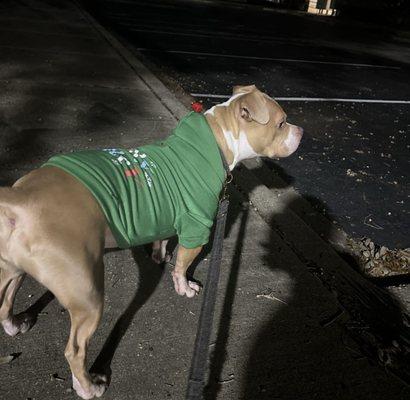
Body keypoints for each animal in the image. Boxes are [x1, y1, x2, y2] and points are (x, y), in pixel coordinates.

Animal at [0, 84, 302, 396]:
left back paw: (15, 324)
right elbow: (182, 266)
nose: (301, 131)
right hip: (86, 294)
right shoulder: (197, 228)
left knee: (4, 302)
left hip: (13, 269)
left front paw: (159, 255)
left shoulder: (170, 213)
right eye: (281, 123)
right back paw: (89, 387)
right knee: (75, 350)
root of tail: (20, 199)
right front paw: (184, 287)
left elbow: (164, 240)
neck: (219, 141)